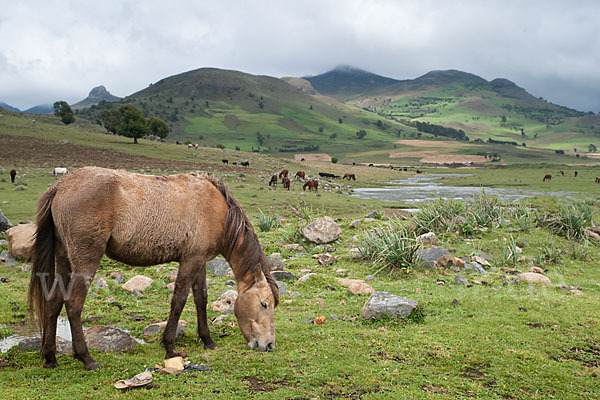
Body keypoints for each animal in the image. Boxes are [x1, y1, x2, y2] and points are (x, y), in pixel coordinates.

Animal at [28, 167, 278, 370]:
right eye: (264, 304)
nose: (269, 344)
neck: (218, 210)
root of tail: (60, 186)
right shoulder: (190, 261)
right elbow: (179, 301)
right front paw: (169, 346)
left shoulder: (200, 262)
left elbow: (201, 299)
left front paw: (208, 340)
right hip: (86, 260)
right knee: (73, 305)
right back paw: (87, 359)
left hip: (64, 259)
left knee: (54, 302)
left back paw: (50, 358)